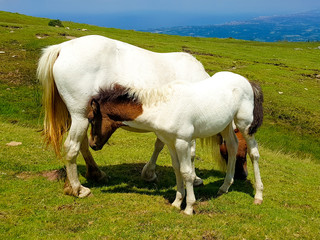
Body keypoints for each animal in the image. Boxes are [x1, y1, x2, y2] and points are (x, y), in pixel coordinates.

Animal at [87, 71, 262, 216]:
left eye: (90, 118)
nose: (92, 144)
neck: (164, 108)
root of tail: (247, 81)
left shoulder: (182, 142)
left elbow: (186, 172)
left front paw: (189, 207)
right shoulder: (170, 143)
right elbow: (177, 169)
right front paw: (177, 202)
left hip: (245, 125)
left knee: (254, 153)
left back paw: (258, 196)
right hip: (225, 125)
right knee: (232, 146)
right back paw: (224, 187)